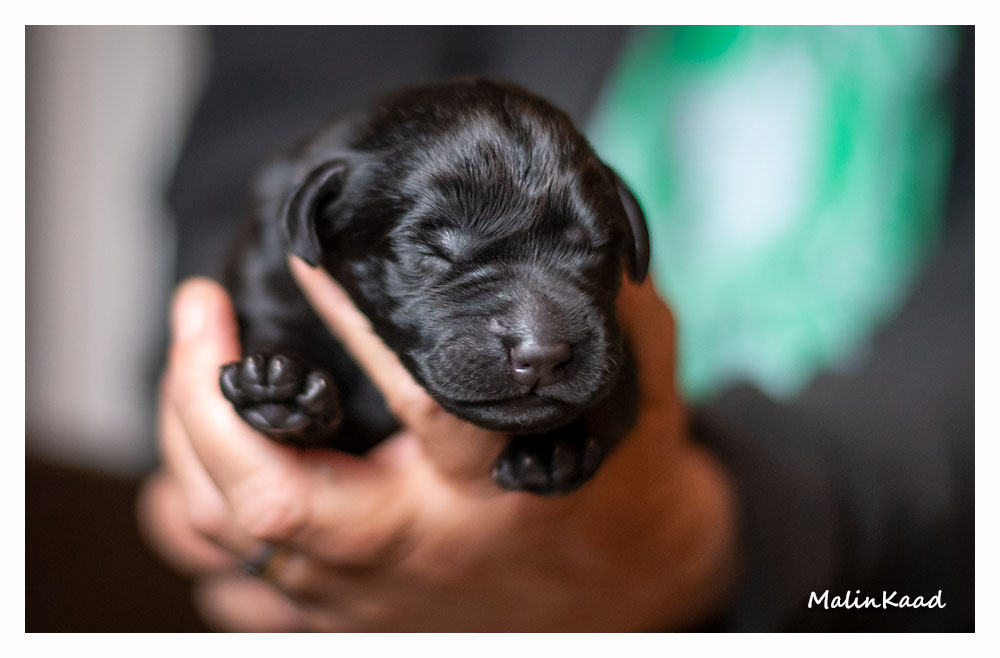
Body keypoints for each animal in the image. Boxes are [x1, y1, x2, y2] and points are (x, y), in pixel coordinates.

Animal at [219, 79, 649, 496]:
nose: (542, 355)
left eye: (593, 249)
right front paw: (280, 385)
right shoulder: (270, 278)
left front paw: (554, 446)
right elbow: (280, 326)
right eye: (435, 250)